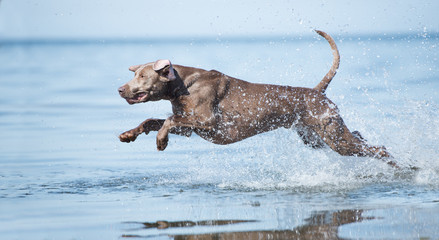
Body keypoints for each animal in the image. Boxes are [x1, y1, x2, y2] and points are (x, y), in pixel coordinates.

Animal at [118, 30, 398, 167]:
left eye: (142, 76)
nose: (120, 89)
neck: (184, 84)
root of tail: (318, 91)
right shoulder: (190, 127)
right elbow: (153, 120)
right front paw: (129, 134)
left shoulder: (208, 121)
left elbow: (168, 121)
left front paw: (161, 141)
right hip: (315, 137)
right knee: (361, 138)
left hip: (333, 136)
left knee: (378, 148)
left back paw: (399, 167)